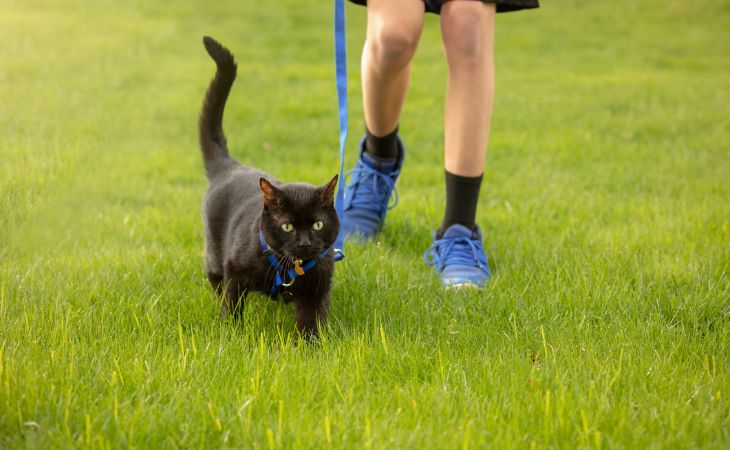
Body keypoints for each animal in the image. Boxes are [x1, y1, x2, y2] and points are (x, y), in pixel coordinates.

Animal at [196, 37, 338, 340]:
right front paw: (231, 336)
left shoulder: (319, 288)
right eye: (287, 226)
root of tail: (230, 165)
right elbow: (231, 308)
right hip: (214, 257)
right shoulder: (235, 275)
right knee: (216, 282)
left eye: (318, 225)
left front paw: (309, 346)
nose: (305, 243)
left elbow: (311, 322)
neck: (290, 270)